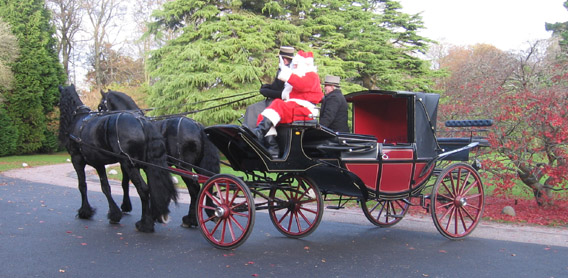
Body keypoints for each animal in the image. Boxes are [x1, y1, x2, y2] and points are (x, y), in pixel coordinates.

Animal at [58, 85, 176, 232]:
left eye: (101, 106)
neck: (78, 119)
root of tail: (142, 122)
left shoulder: (77, 160)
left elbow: (82, 185)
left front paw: (85, 211)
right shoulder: (99, 163)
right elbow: (106, 187)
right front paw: (115, 213)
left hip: (130, 164)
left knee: (143, 189)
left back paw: (145, 223)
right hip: (146, 164)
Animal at [100, 90, 220, 227]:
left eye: (100, 107)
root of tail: (198, 126)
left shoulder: (127, 162)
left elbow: (125, 183)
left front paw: (127, 207)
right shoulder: (147, 167)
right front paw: (157, 214)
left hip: (184, 166)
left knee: (195, 189)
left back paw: (190, 219)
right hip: (199, 166)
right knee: (208, 183)